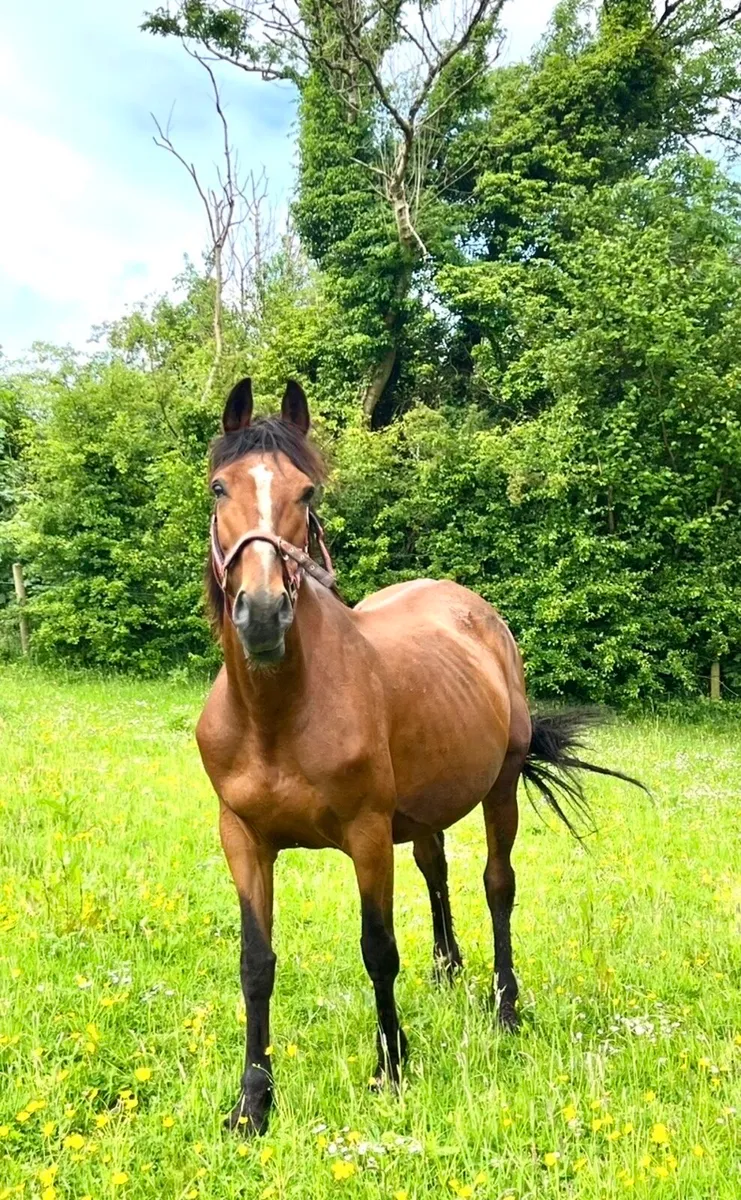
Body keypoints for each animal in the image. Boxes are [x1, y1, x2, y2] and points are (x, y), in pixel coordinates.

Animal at [196, 377, 642, 1135]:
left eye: (307, 493)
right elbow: (255, 962)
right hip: (427, 807)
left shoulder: (367, 835)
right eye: (220, 488)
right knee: (437, 870)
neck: (277, 716)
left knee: (497, 885)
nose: (261, 614)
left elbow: (378, 950)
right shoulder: (243, 837)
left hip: (497, 790)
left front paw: (391, 1068)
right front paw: (253, 1102)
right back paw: (447, 967)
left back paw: (505, 1008)